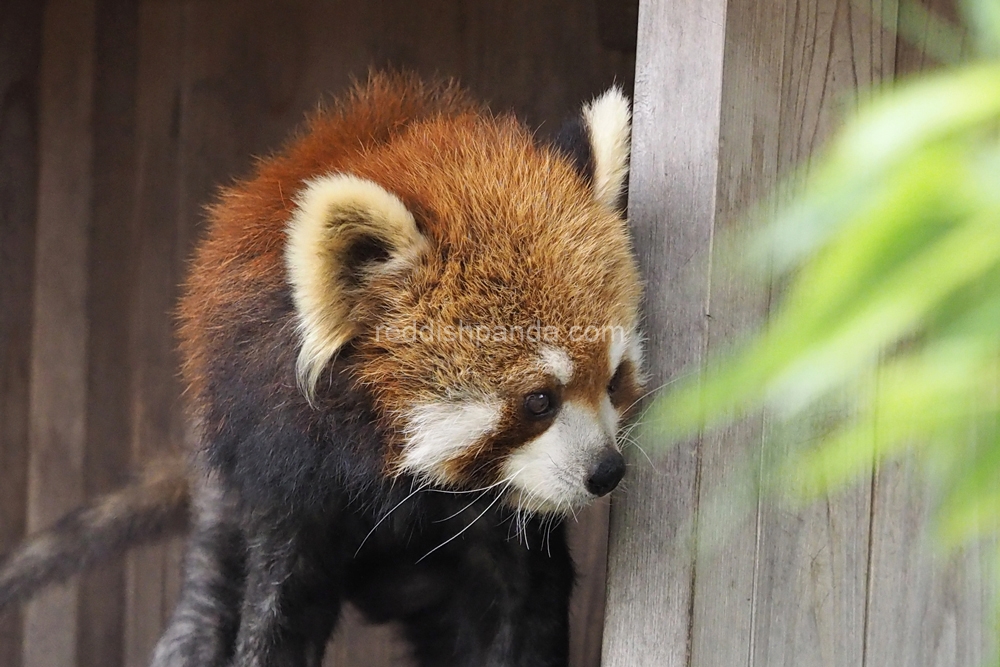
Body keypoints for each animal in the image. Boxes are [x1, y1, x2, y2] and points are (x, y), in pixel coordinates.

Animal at [0, 73, 640, 667]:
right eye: (539, 399)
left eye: (613, 381)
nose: (606, 471)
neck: (391, 473)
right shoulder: (287, 469)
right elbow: (278, 604)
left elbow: (520, 607)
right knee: (208, 596)